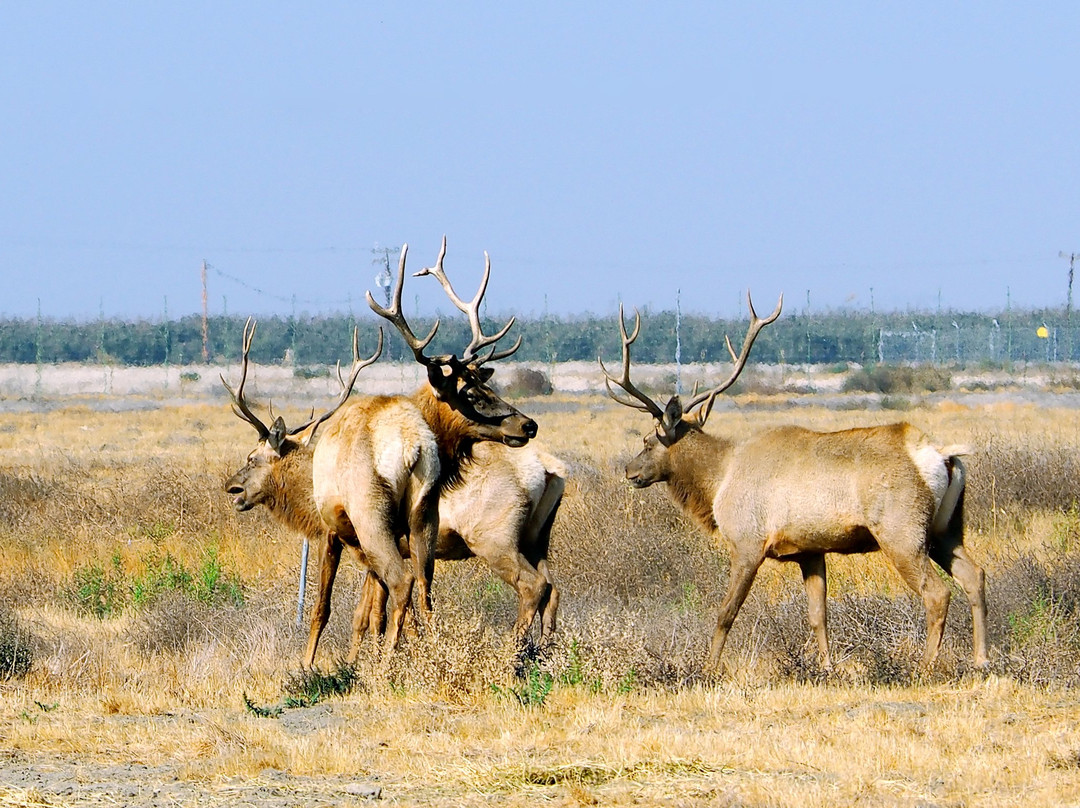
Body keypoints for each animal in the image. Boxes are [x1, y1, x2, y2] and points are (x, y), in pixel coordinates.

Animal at [601, 293, 989, 676]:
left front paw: (709, 669)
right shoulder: (809, 549)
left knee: (937, 593)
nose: (629, 471)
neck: (718, 481)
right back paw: (981, 659)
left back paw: (924, 666)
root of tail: (943, 455)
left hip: (902, 531)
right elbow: (818, 615)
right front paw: (828, 667)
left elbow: (726, 612)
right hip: (944, 529)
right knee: (975, 576)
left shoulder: (747, 542)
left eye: (648, 440)